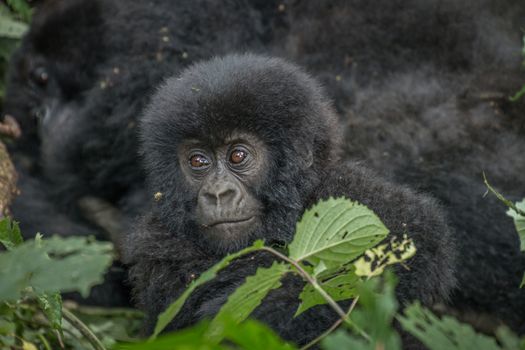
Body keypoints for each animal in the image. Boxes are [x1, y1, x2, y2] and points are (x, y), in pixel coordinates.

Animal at [126, 54, 454, 344]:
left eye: (238, 155)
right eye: (198, 161)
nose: (218, 193)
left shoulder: (350, 191)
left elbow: (413, 233)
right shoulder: (158, 248)